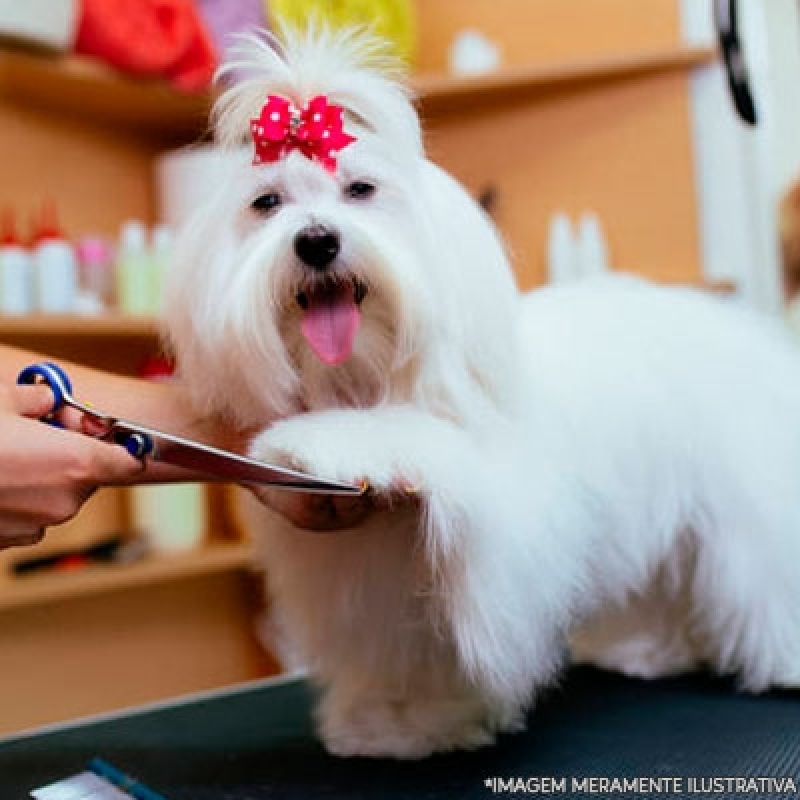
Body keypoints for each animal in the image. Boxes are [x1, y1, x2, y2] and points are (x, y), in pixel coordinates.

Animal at [166, 26, 800, 764]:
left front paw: (318, 442)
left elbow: (410, 439)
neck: (364, 374)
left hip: (746, 512)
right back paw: (649, 652)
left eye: (360, 189)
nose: (317, 240)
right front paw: (402, 723)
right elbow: (406, 653)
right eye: (266, 204)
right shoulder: (378, 579)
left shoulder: (495, 514)